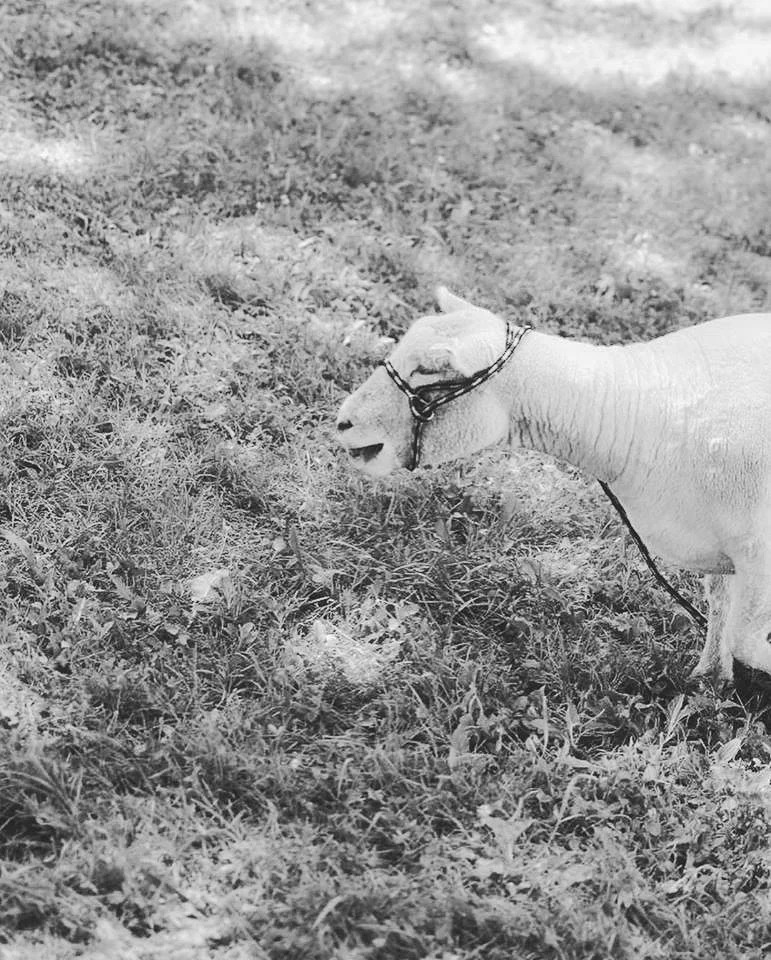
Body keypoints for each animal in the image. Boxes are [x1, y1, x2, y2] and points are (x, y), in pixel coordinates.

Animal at [336, 287, 771, 684]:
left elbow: (745, 640)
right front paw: (711, 678)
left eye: (429, 370)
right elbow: (720, 607)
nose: (343, 423)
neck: (644, 411)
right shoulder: (723, 549)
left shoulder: (756, 551)